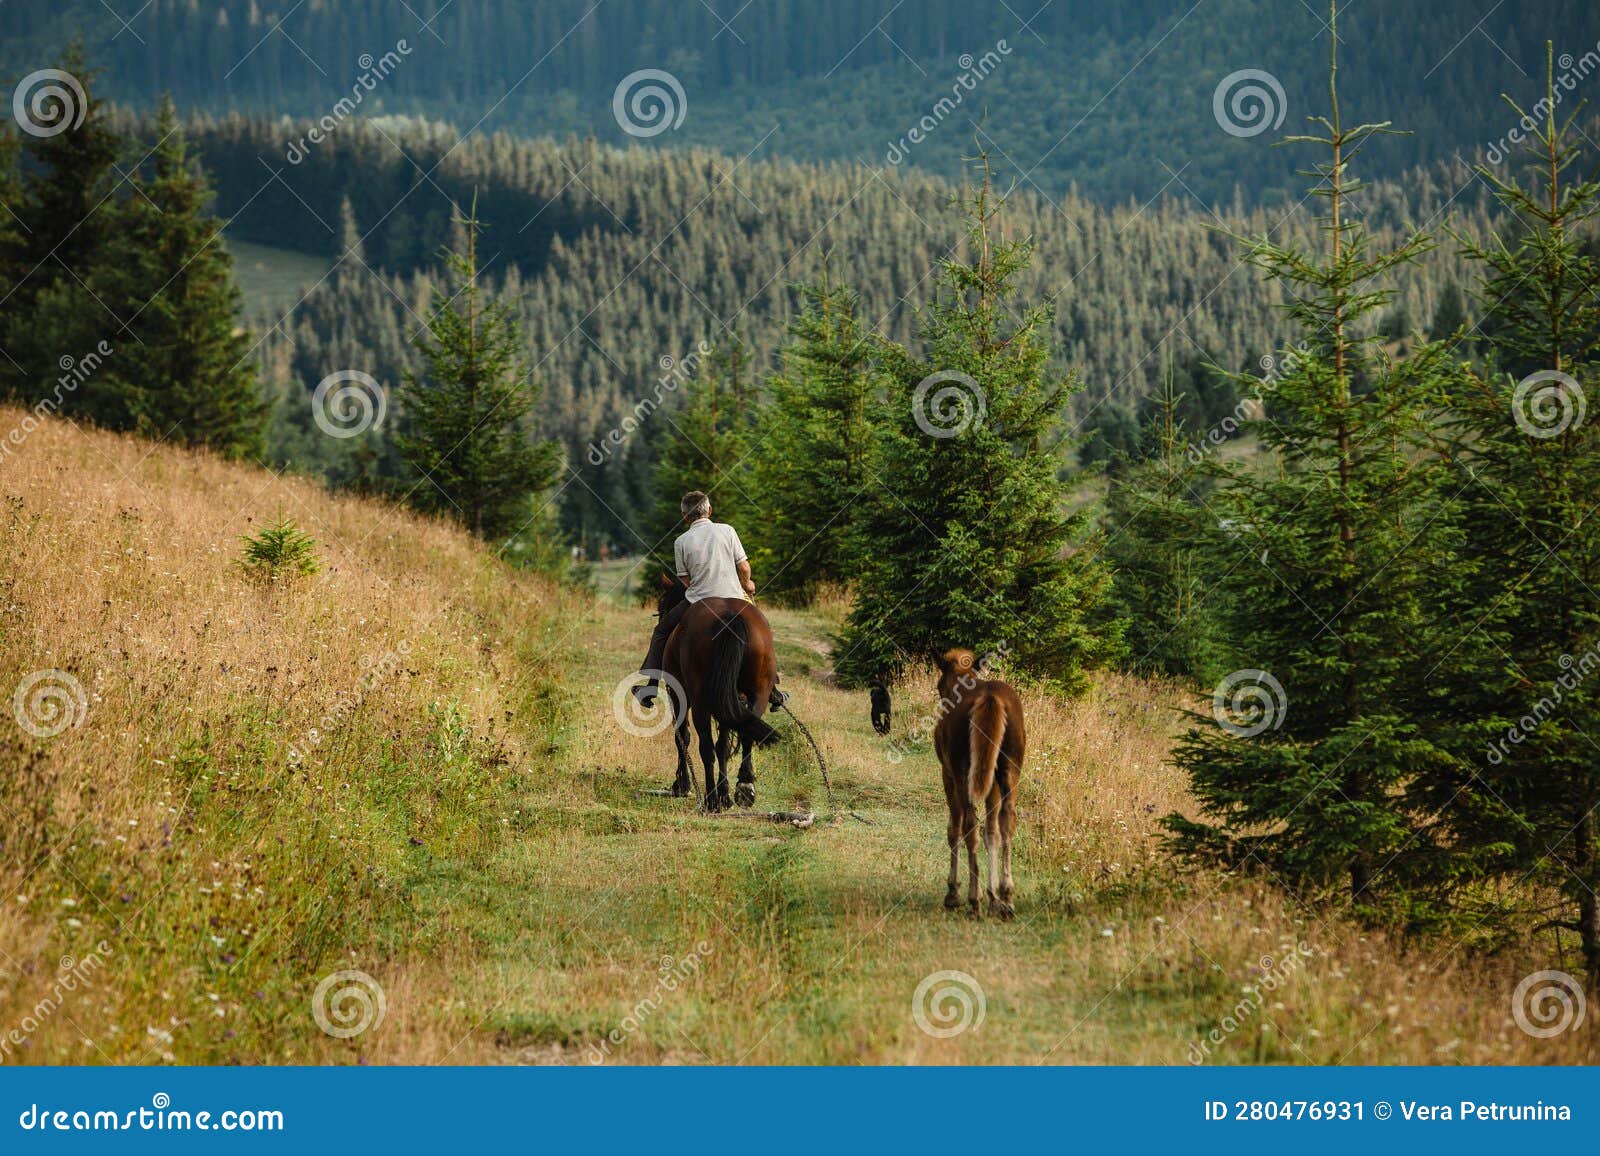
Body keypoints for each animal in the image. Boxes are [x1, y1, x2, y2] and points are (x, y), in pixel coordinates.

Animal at [656, 576, 780, 810]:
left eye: (661, 607)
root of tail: (729, 618)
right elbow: (723, 744)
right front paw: (725, 793)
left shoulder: (678, 695)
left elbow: (682, 737)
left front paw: (682, 785)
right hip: (757, 692)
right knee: (745, 733)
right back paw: (744, 787)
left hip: (699, 701)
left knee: (705, 746)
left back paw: (711, 799)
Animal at [934, 646, 1030, 915]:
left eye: (939, 685)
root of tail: (991, 700)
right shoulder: (992, 781)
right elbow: (992, 832)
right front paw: (994, 896)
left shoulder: (948, 774)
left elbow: (953, 829)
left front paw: (953, 892)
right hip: (1010, 767)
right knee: (1007, 821)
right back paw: (1006, 897)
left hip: (962, 770)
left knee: (969, 827)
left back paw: (973, 900)